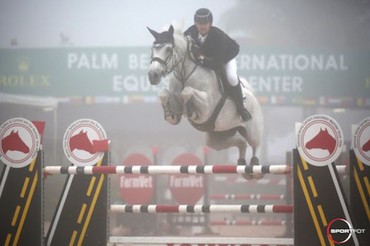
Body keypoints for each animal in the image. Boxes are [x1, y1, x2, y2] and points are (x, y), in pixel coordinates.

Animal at [147, 24, 264, 179]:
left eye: (168, 49)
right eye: (153, 49)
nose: (153, 75)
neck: (184, 74)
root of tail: (253, 97)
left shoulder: (207, 106)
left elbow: (188, 91)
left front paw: (191, 110)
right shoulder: (175, 109)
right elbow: (164, 95)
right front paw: (169, 112)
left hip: (252, 130)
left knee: (255, 145)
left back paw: (255, 169)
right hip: (217, 138)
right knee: (241, 143)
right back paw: (242, 166)